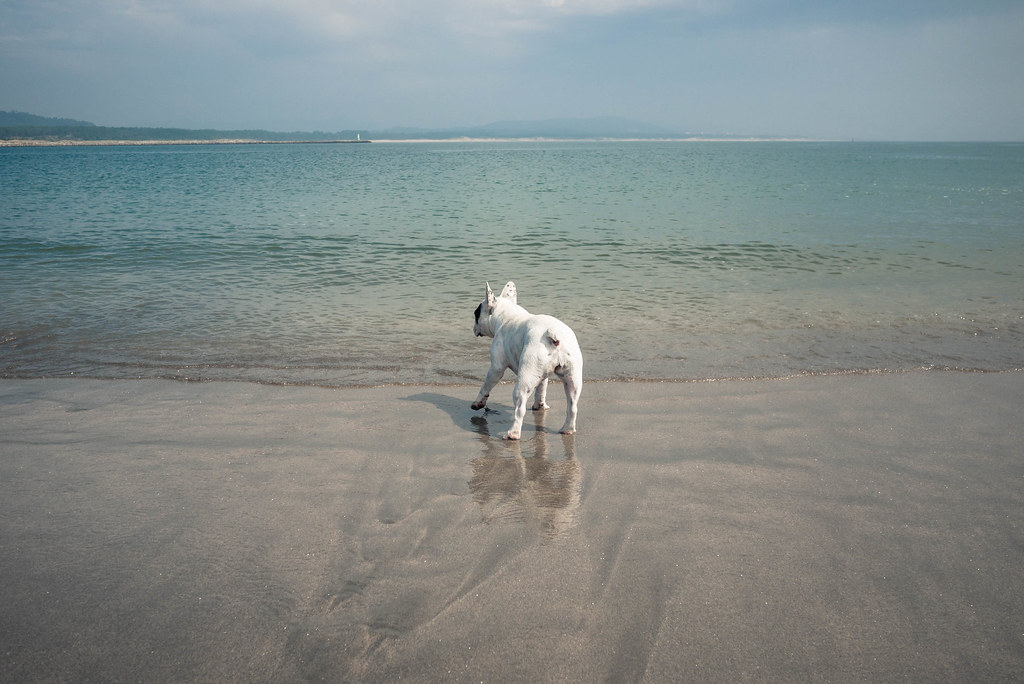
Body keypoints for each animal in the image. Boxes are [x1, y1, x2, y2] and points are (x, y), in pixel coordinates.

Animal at [471, 280, 585, 440]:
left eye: (476, 313)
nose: (473, 327)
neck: (507, 316)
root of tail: (553, 334)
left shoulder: (496, 368)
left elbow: (486, 386)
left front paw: (478, 403)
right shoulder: (542, 375)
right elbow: (541, 389)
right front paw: (539, 406)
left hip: (525, 380)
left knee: (520, 409)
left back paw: (513, 433)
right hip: (572, 378)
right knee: (572, 406)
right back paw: (567, 429)